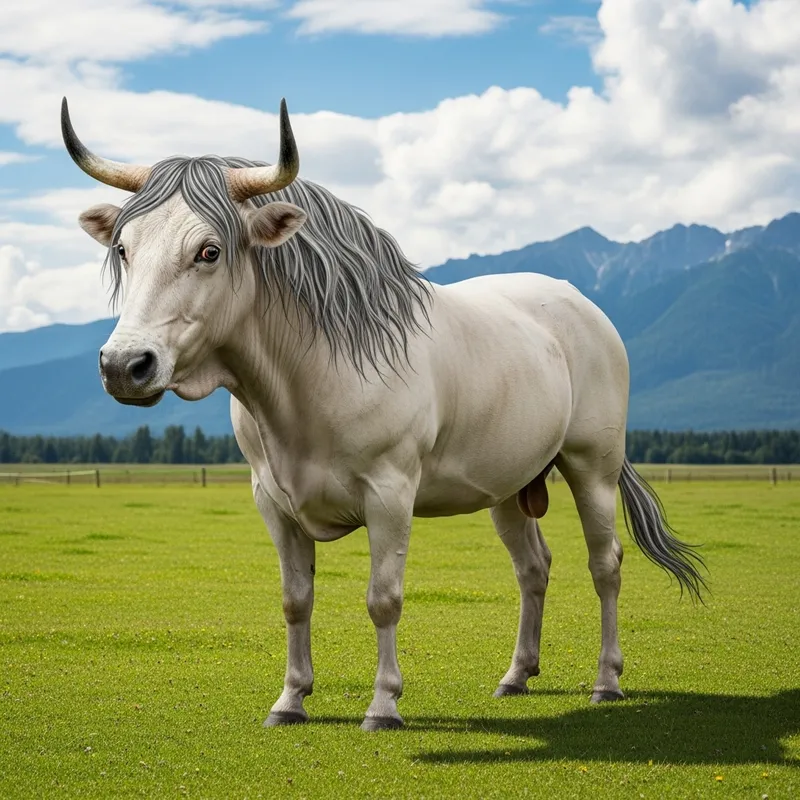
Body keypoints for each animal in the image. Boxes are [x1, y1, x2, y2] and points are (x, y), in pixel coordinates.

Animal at [61, 97, 706, 731]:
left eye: (209, 251)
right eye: (124, 249)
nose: (124, 365)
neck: (303, 387)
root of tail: (584, 306)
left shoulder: (391, 492)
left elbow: (383, 597)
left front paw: (383, 705)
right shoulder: (272, 500)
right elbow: (295, 599)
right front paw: (290, 699)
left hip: (593, 465)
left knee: (605, 564)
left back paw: (606, 681)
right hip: (509, 484)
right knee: (533, 567)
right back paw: (517, 675)